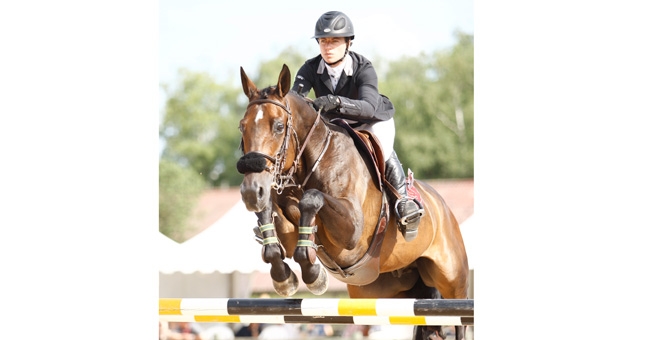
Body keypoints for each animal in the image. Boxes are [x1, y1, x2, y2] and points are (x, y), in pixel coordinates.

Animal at [237, 64, 470, 340]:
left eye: (279, 126)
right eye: (242, 127)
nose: (252, 191)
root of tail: (444, 209)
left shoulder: (352, 232)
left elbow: (311, 199)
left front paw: (313, 275)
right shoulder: (288, 228)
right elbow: (273, 222)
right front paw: (284, 278)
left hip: (453, 282)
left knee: (460, 322)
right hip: (379, 291)